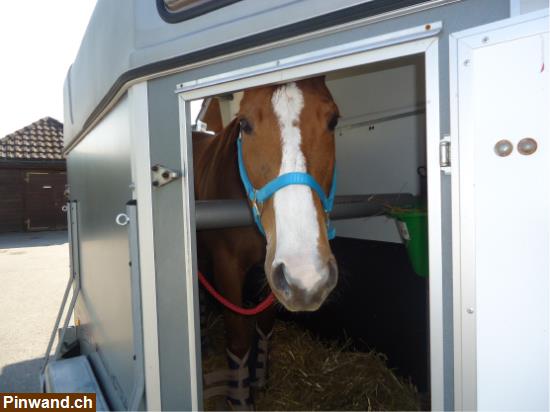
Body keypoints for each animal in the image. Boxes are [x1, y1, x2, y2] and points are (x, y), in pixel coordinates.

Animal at [194, 77, 340, 408]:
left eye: (333, 121)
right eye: (245, 124)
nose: (307, 276)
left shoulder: (272, 274)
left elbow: (264, 325)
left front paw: (259, 379)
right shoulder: (227, 267)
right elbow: (238, 339)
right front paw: (240, 399)